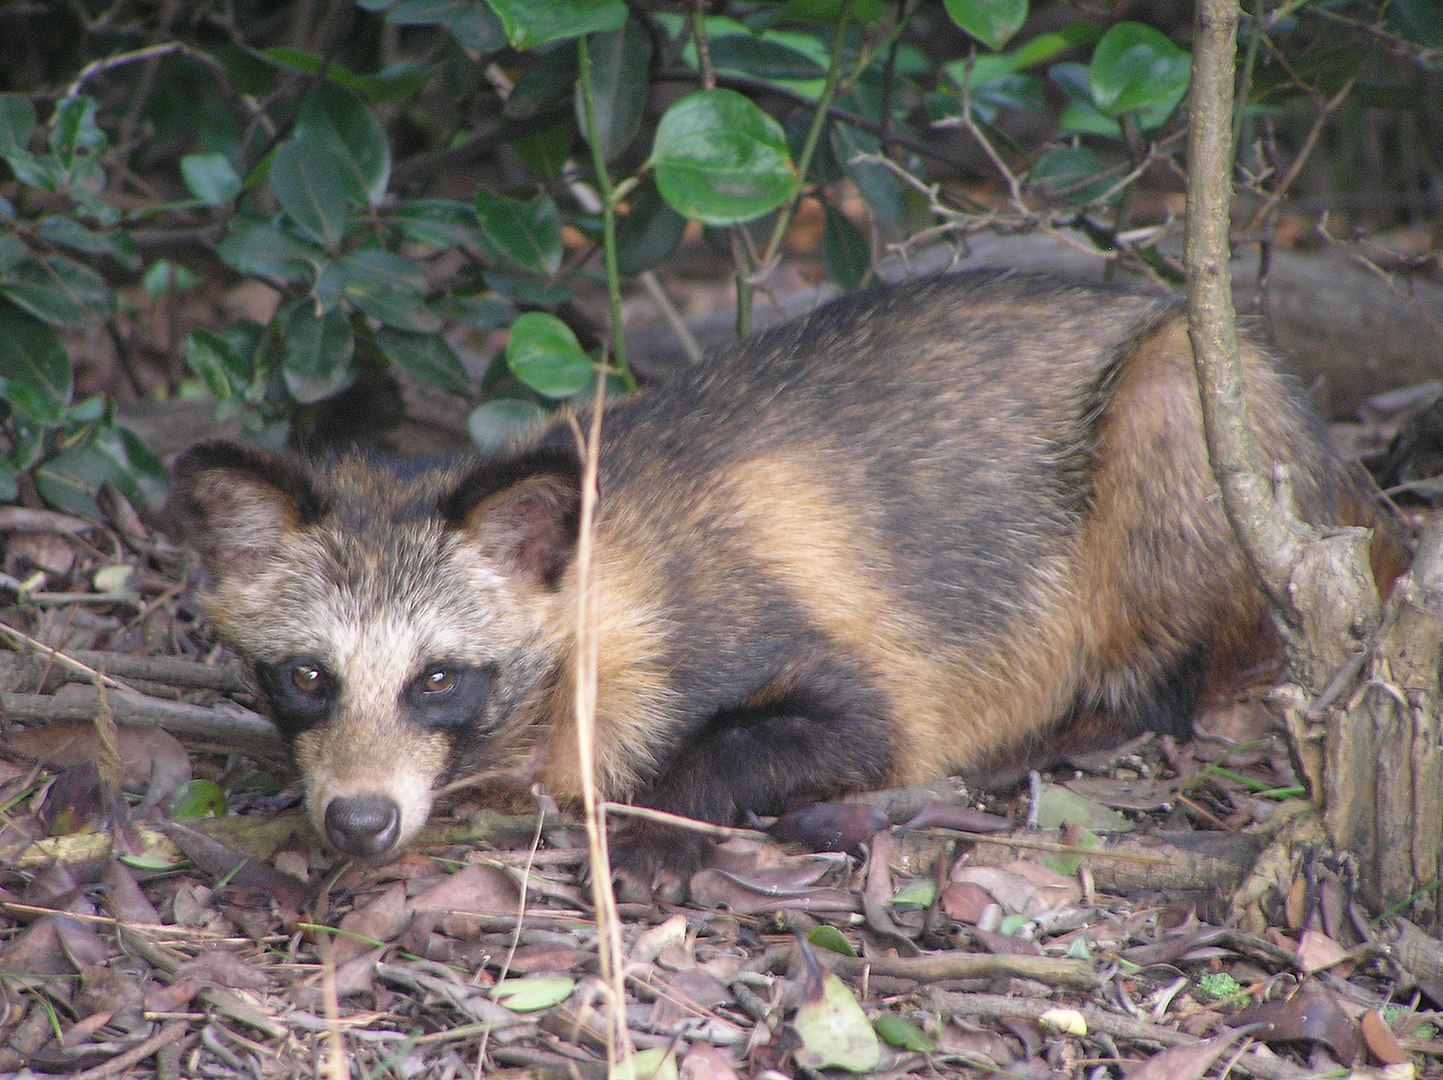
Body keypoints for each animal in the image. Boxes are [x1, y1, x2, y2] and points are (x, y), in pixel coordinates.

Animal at [170, 271, 1397, 894]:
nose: (358, 821)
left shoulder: (825, 652)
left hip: (1183, 408)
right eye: (307, 677)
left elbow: (806, 732)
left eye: (437, 680)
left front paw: (661, 819)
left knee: (1172, 673)